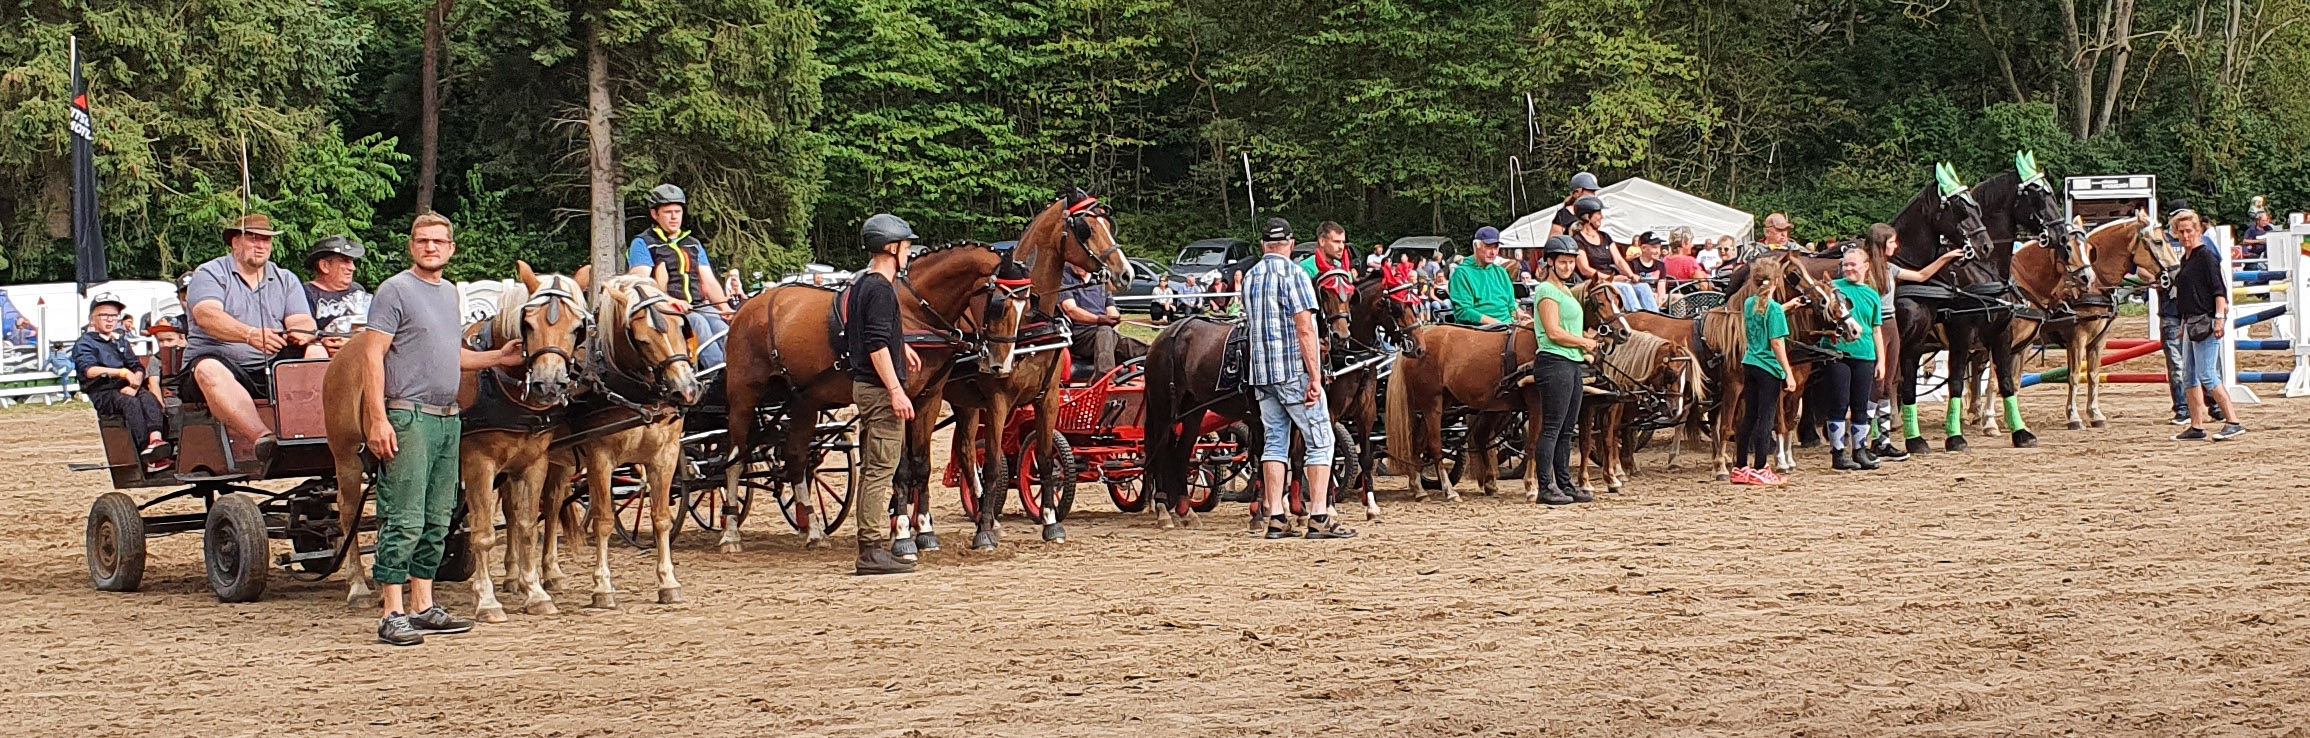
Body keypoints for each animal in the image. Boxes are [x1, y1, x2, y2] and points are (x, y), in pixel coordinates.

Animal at [328, 263, 595, 615]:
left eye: (578, 328)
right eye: (528, 323)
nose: (547, 384)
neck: (499, 384)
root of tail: (349, 347)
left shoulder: (533, 462)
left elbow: (526, 527)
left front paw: (536, 593)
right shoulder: (478, 463)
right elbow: (483, 533)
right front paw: (487, 600)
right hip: (346, 457)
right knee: (348, 513)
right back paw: (358, 586)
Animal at [711, 190, 1127, 555]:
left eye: (1108, 223)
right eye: (1086, 227)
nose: (1123, 274)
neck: (918, 310)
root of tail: (751, 304)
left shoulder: (1039, 398)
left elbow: (1027, 456)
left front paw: (1045, 524)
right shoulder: (991, 399)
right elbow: (970, 464)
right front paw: (933, 533)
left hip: (806, 400)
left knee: (798, 457)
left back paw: (815, 530)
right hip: (744, 397)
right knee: (735, 456)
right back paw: (731, 532)